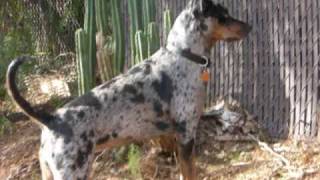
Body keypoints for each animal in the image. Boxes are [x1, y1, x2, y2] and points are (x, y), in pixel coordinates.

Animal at [6, 0, 251, 179]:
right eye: (223, 15)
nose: (249, 27)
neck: (183, 55)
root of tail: (50, 119)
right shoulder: (186, 135)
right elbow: (190, 172)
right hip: (73, 172)